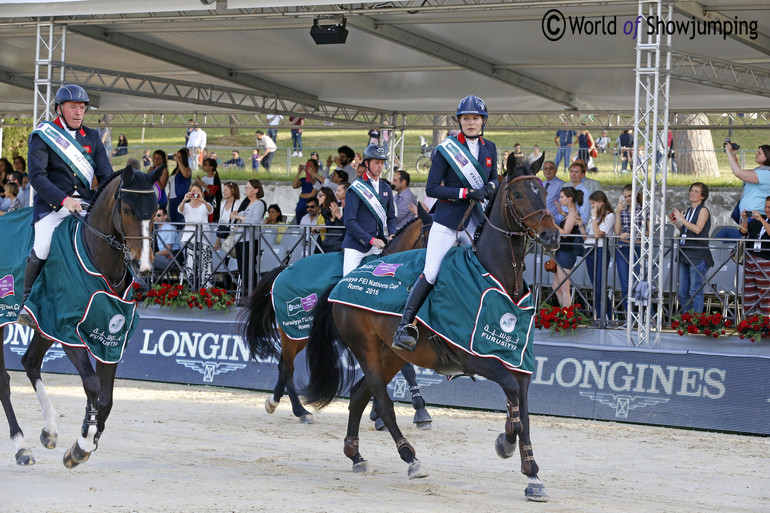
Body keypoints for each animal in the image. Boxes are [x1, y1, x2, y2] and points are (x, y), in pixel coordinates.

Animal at [1, 164, 160, 464]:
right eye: (127, 209)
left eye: (156, 210)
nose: (143, 266)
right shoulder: (66, 329)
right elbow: (93, 385)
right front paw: (83, 444)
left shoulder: (110, 337)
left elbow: (105, 398)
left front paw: (87, 435)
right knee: (4, 380)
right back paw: (21, 447)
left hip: (43, 324)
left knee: (30, 362)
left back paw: (49, 430)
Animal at [240, 205, 432, 424]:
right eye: (430, 235)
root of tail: (285, 269)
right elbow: (405, 368)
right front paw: (416, 411)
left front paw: (378, 413)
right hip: (292, 329)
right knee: (287, 368)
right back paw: (301, 411)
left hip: (301, 334)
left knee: (283, 364)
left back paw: (273, 402)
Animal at [302, 155, 560, 500]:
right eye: (517, 195)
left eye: (543, 191)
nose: (552, 236)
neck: (500, 279)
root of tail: (345, 280)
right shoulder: (476, 358)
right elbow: (514, 405)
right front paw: (505, 444)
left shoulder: (519, 365)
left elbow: (524, 413)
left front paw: (532, 476)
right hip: (366, 349)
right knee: (383, 404)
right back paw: (411, 459)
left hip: (391, 356)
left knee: (358, 396)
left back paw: (356, 455)